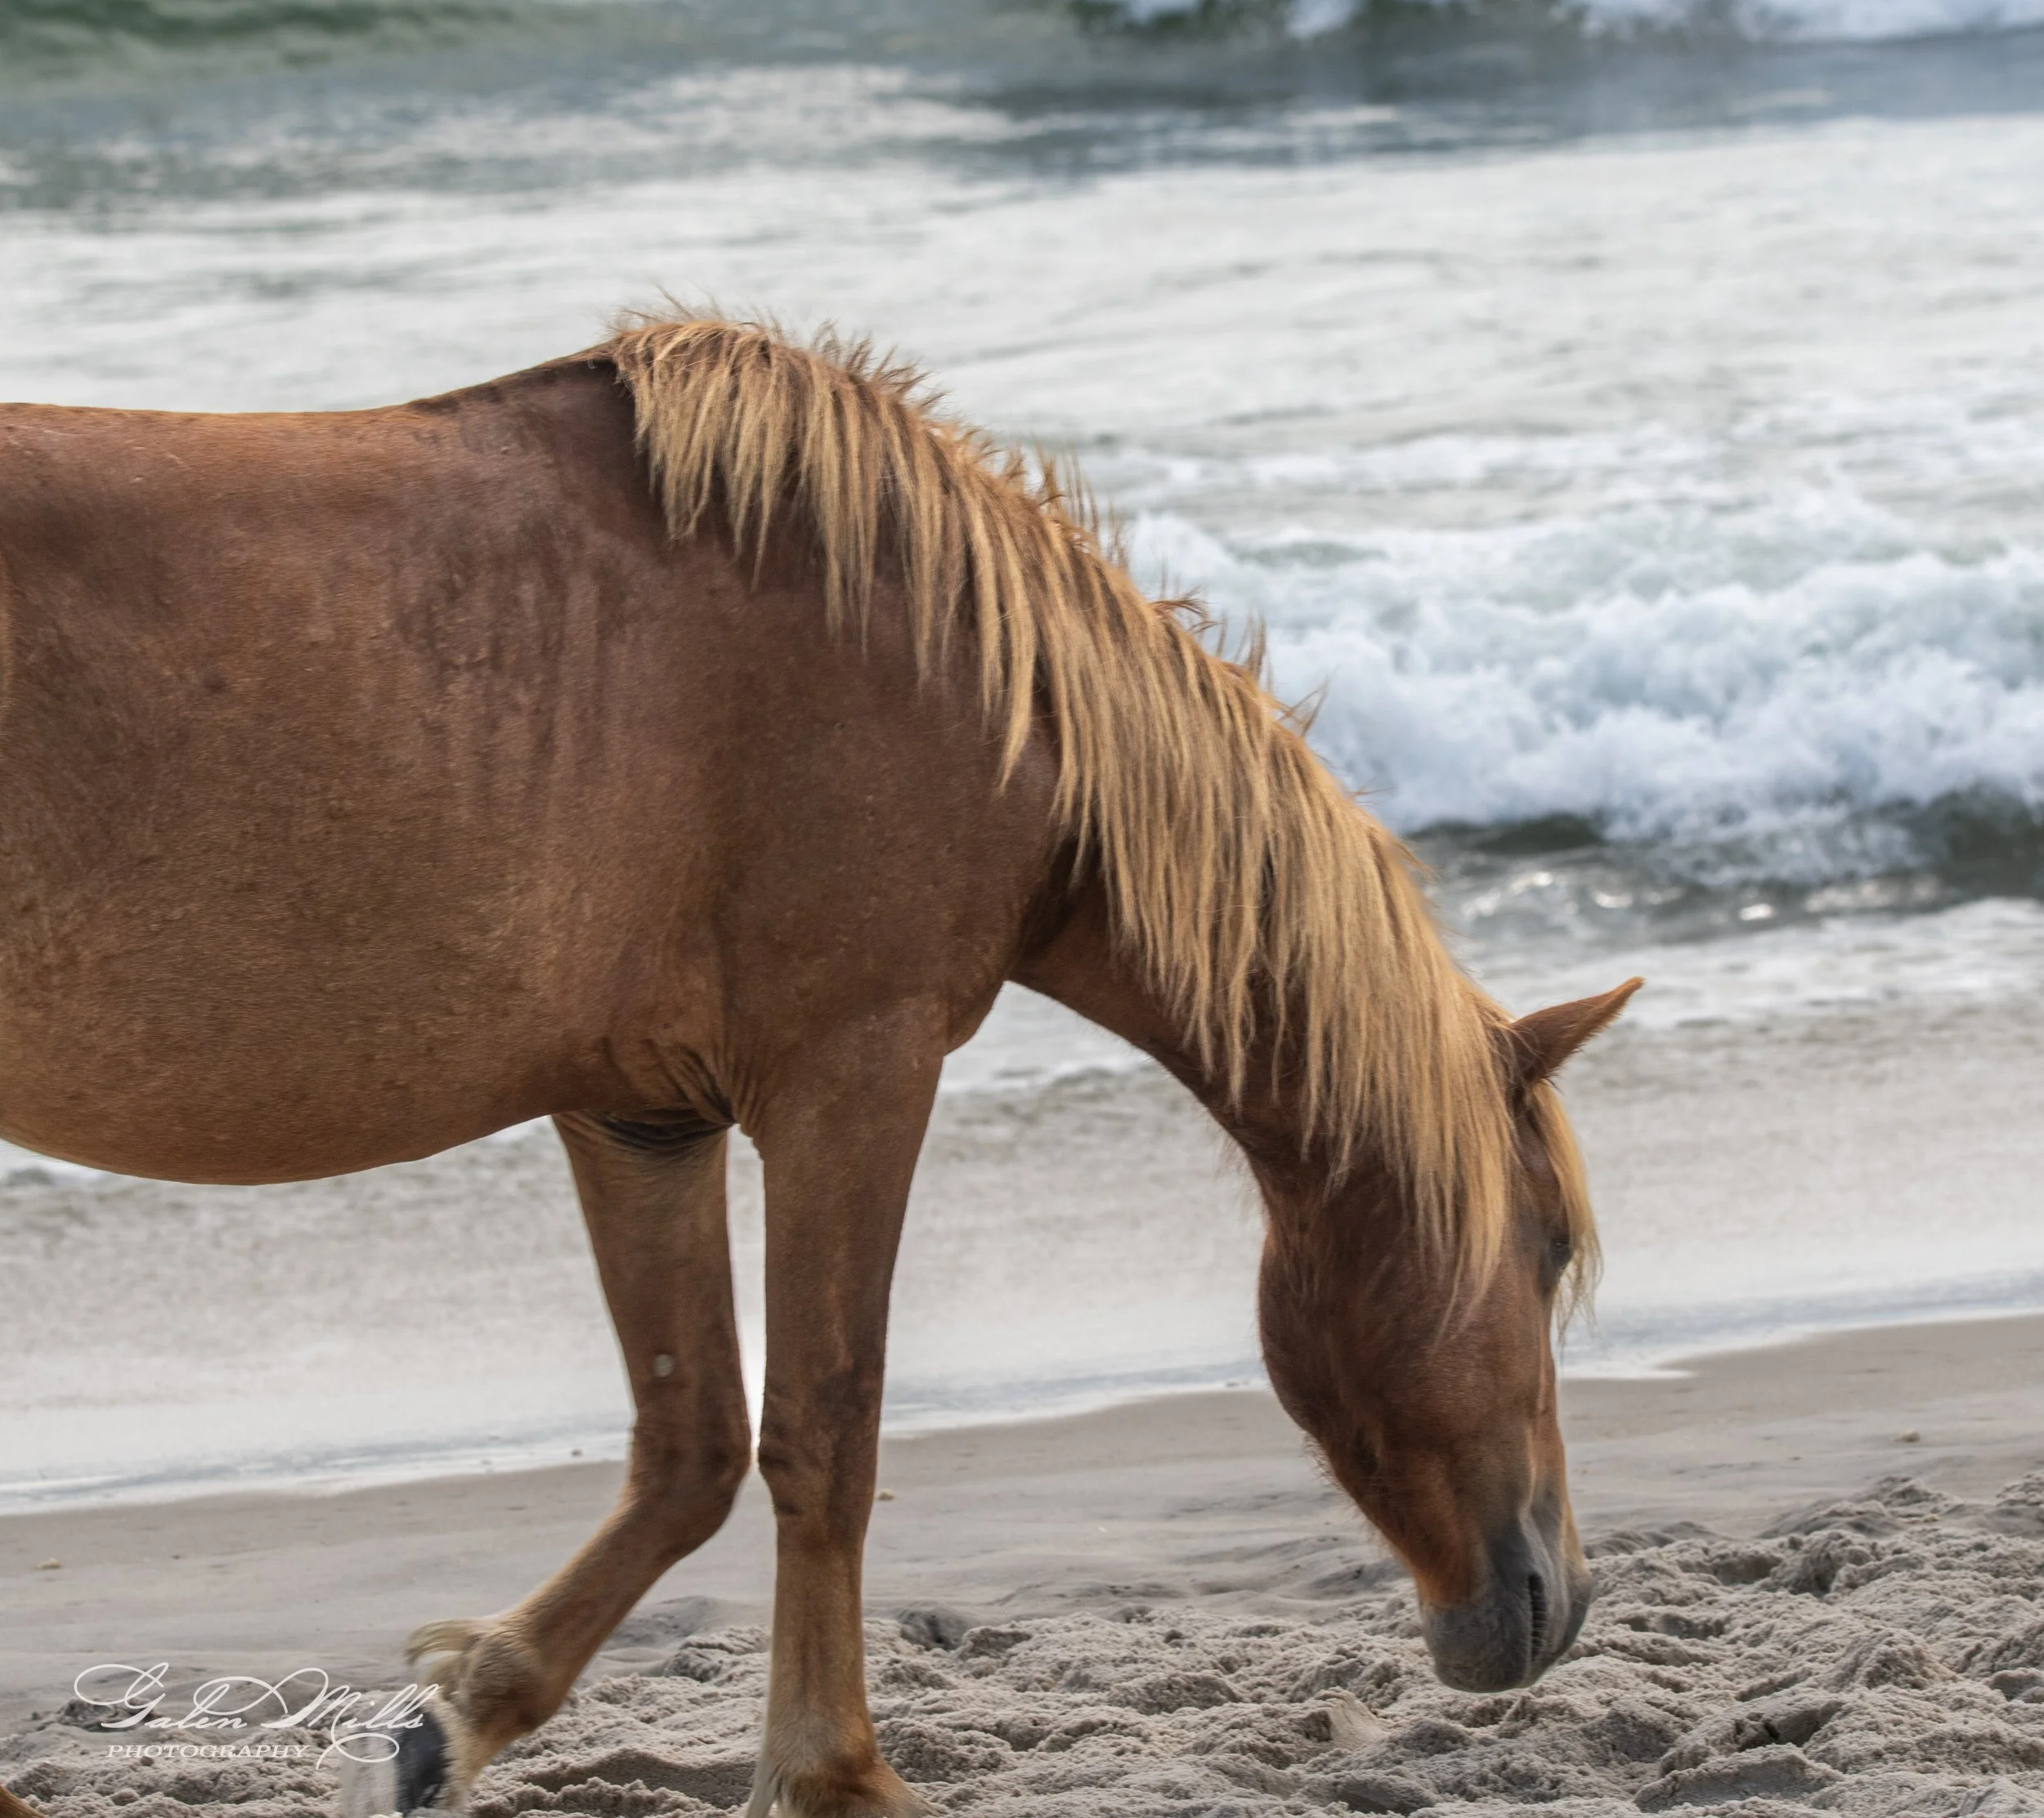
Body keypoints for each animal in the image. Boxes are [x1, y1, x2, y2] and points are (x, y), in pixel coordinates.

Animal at [0, 314, 1637, 1817]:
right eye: (1549, 1251)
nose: (1552, 1601)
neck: (948, 660)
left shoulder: (640, 1113)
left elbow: (694, 1444)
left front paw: (464, 1710)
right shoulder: (852, 1077)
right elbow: (826, 1430)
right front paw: (836, 1768)